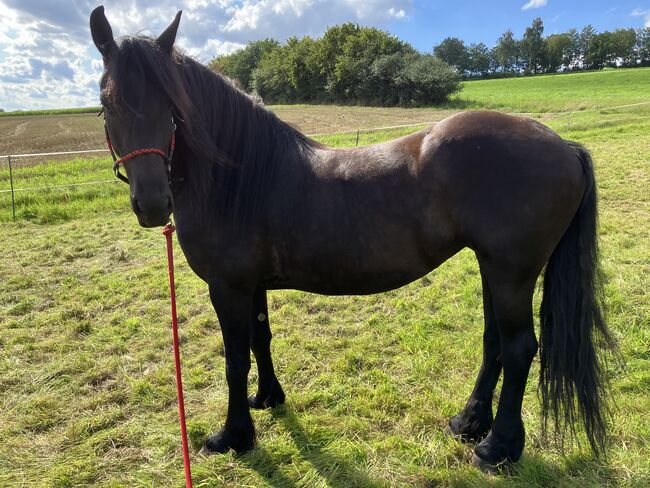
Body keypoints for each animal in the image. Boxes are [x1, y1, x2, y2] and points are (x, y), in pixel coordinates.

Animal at [90, 7, 612, 470]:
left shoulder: (228, 287)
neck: (240, 177)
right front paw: (268, 399)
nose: (152, 203)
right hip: (493, 269)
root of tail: (564, 146)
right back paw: (468, 423)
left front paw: (234, 436)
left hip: (511, 272)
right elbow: (261, 338)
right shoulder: (250, 285)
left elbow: (235, 359)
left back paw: (497, 448)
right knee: (495, 343)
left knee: (520, 347)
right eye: (108, 103)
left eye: (172, 106)